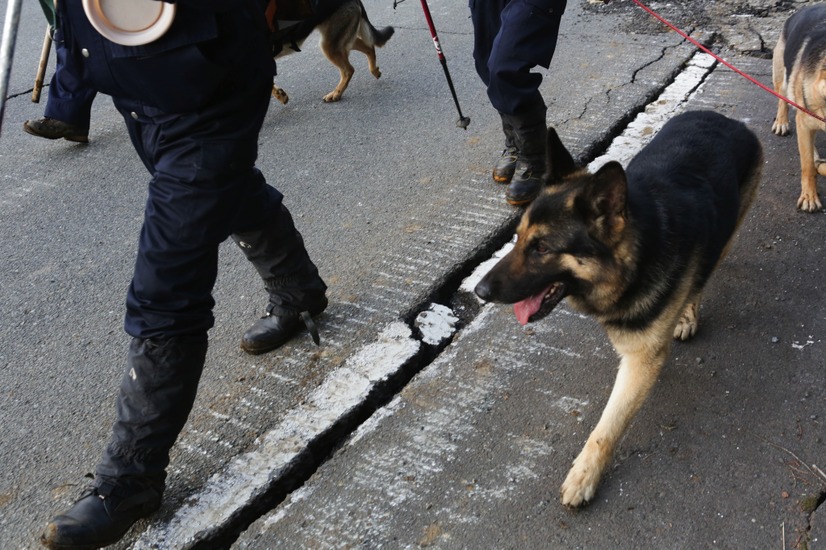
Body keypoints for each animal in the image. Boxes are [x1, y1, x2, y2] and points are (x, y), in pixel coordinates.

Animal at [474, 111, 756, 508]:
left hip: (728, 233)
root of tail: (725, 118)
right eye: (517, 238)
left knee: (703, 275)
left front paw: (585, 475)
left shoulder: (641, 361)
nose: (479, 291)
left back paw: (689, 312)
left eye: (542, 248)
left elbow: (607, 426)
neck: (637, 255)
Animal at [768, 3, 824, 212]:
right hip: (783, 76)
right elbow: (807, 166)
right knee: (782, 100)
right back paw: (781, 123)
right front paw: (809, 196)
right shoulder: (805, 123)